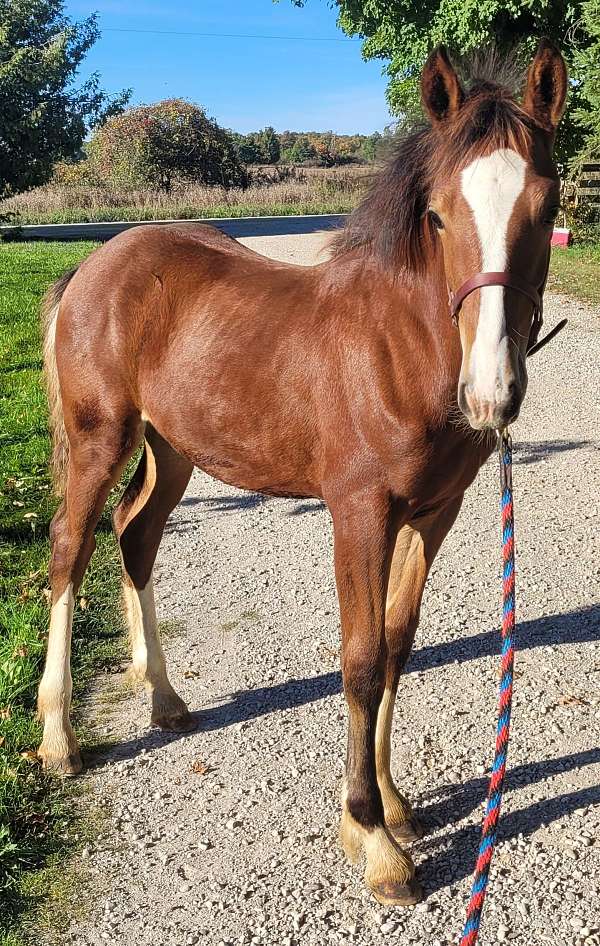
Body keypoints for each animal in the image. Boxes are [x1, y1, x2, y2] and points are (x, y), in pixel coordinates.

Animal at [37, 42, 568, 908]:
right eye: (438, 214)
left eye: (546, 203)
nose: (492, 393)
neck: (397, 349)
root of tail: (93, 266)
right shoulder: (359, 511)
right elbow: (359, 660)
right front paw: (372, 838)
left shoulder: (434, 513)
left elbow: (398, 645)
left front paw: (393, 801)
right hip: (98, 440)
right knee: (69, 550)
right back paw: (57, 738)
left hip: (172, 448)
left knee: (135, 536)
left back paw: (165, 699)